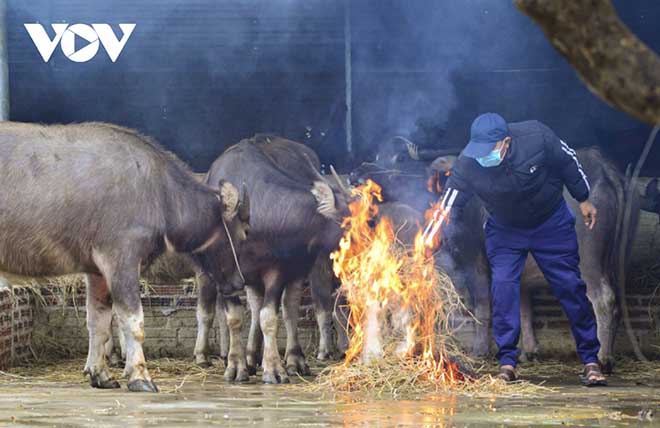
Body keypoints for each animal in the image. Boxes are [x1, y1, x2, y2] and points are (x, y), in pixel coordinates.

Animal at [0, 122, 248, 392]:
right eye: (243, 234)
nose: (239, 282)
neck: (159, 194)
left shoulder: (96, 271)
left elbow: (98, 322)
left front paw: (101, 375)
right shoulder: (121, 259)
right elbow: (133, 322)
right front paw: (140, 376)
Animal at [195, 135, 350, 384]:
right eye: (348, 221)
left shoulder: (276, 271)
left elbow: (269, 317)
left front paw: (274, 369)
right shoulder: (224, 276)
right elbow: (234, 317)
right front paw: (236, 366)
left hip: (295, 269)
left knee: (288, 308)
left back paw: (293, 359)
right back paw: (241, 357)